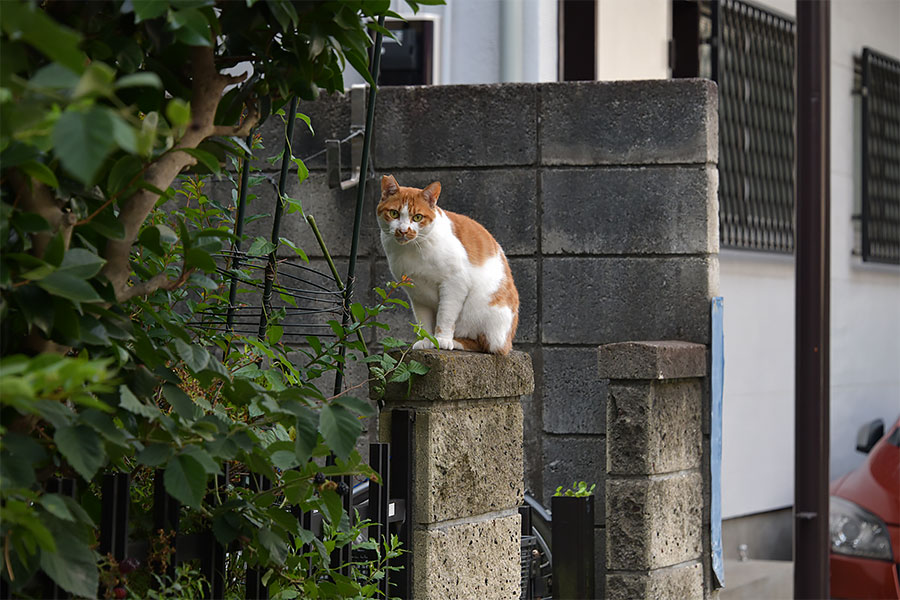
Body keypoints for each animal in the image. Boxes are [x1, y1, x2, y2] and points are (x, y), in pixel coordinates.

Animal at [374, 173, 516, 354]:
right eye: (394, 213)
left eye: (417, 217)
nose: (403, 230)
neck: (413, 249)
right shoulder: (417, 294)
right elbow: (423, 320)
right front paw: (425, 340)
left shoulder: (455, 283)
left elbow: (446, 316)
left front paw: (441, 339)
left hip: (483, 312)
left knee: (485, 344)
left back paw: (456, 342)